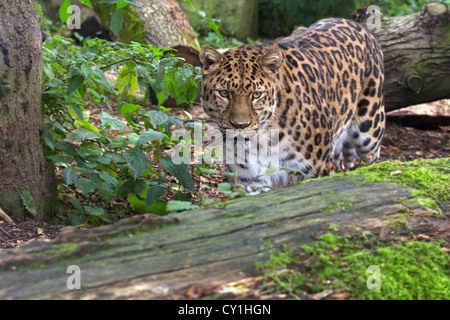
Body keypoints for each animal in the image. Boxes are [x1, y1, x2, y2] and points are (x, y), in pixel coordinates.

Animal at [199, 19, 384, 192]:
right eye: (224, 93)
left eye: (256, 95)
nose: (240, 126)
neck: (263, 140)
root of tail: (354, 23)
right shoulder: (250, 178)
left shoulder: (317, 170)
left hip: (370, 130)